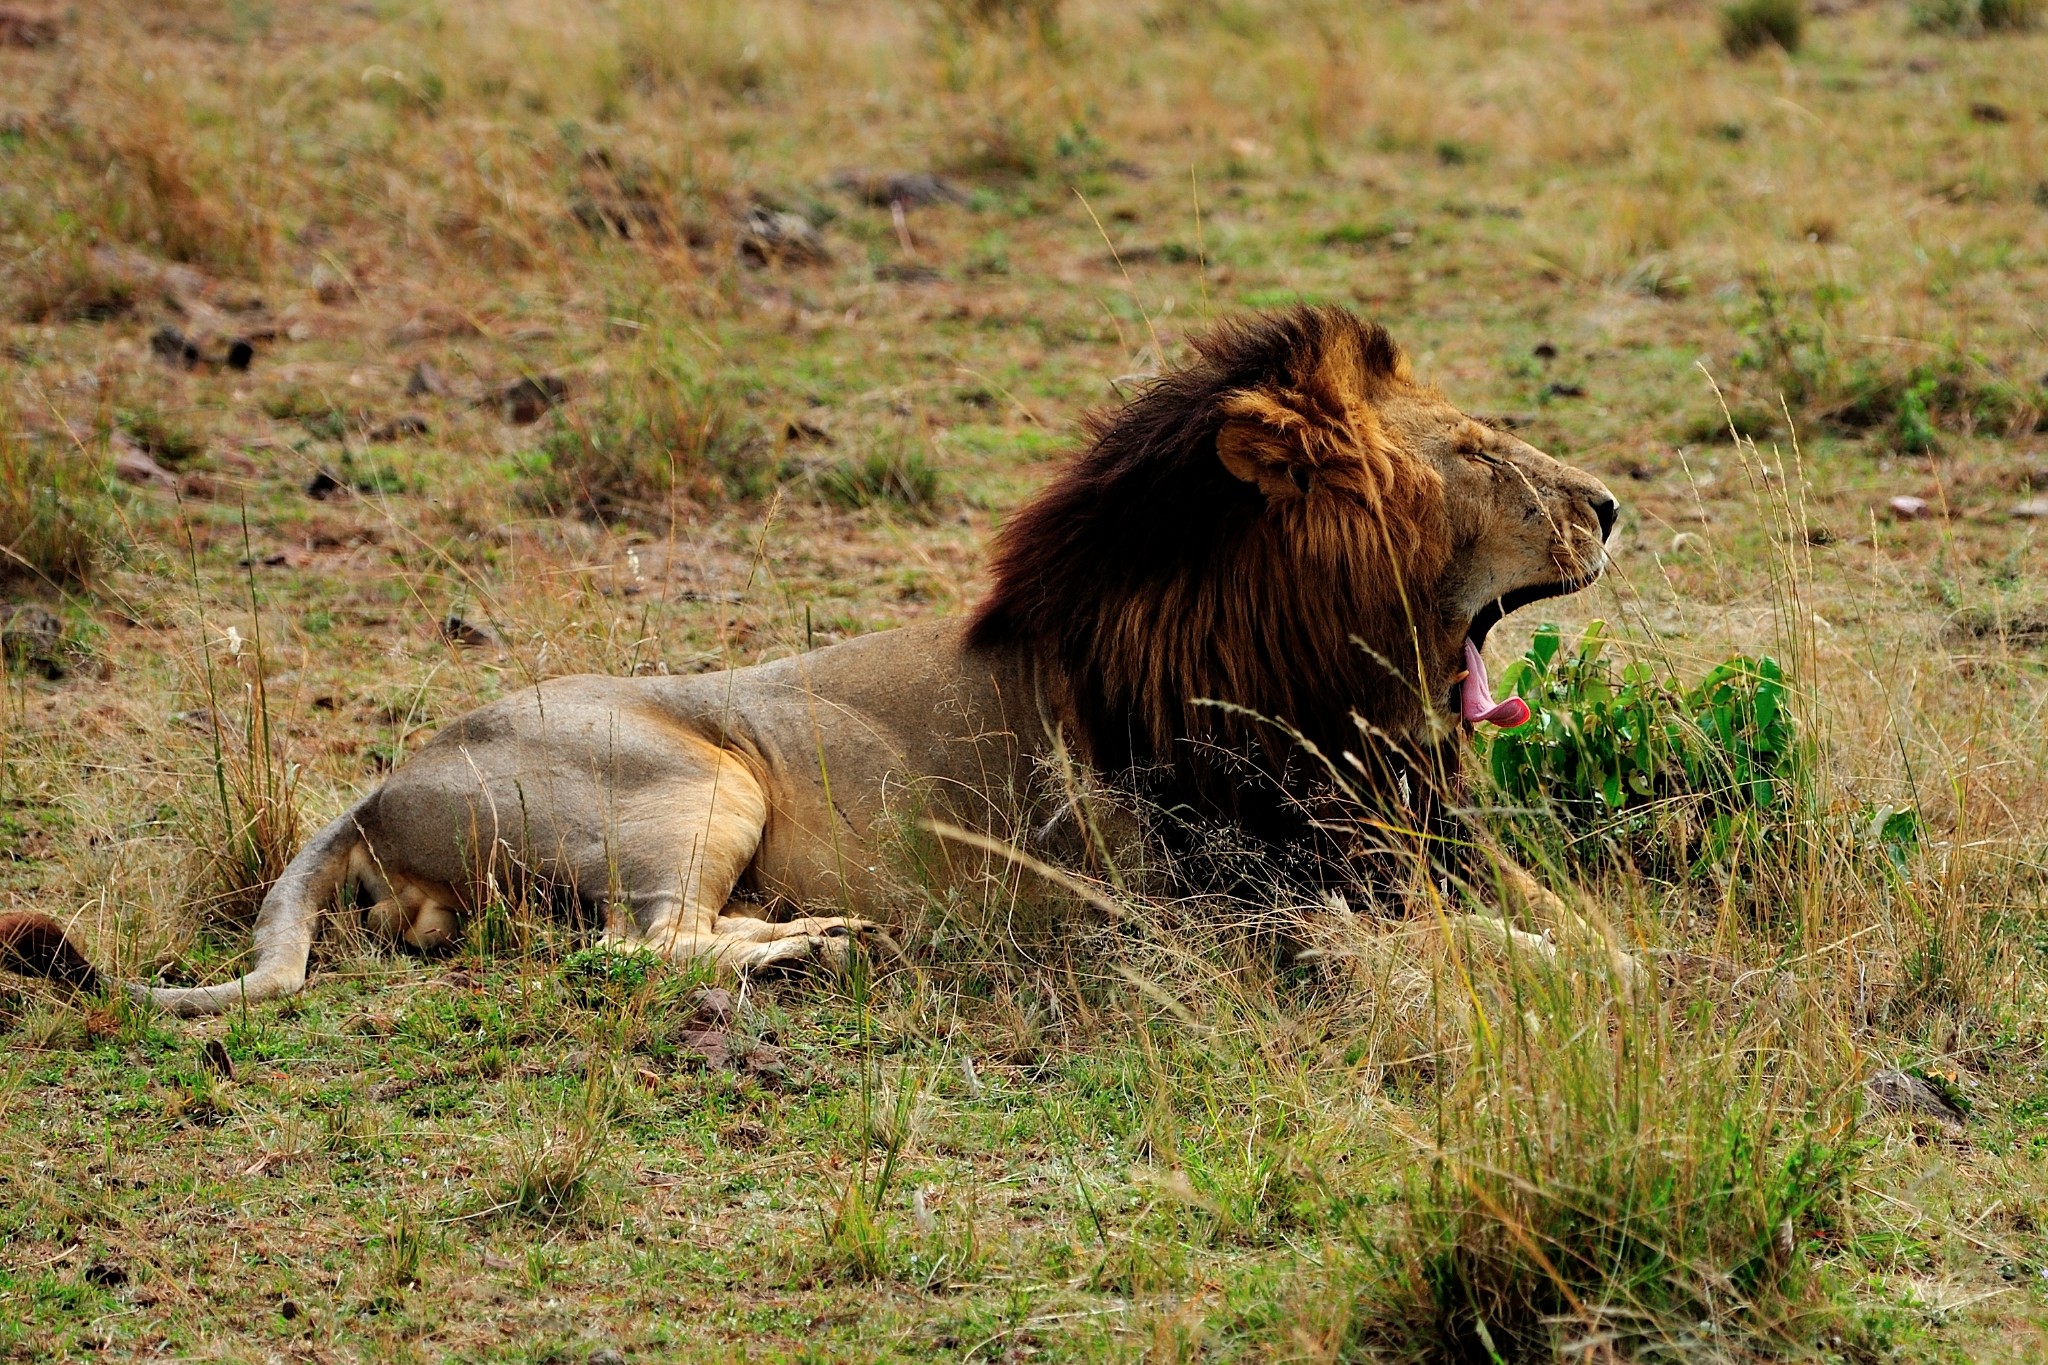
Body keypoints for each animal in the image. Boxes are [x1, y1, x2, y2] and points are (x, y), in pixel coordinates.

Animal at [0, 309, 1622, 1015]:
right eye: (1484, 453)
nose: (1612, 503)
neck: (1327, 691)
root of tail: (375, 782)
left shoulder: (1404, 838)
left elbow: (1554, 915)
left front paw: (1606, 951)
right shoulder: (1209, 914)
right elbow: (1439, 948)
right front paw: (1569, 973)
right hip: (693, 781)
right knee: (630, 946)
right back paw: (811, 945)